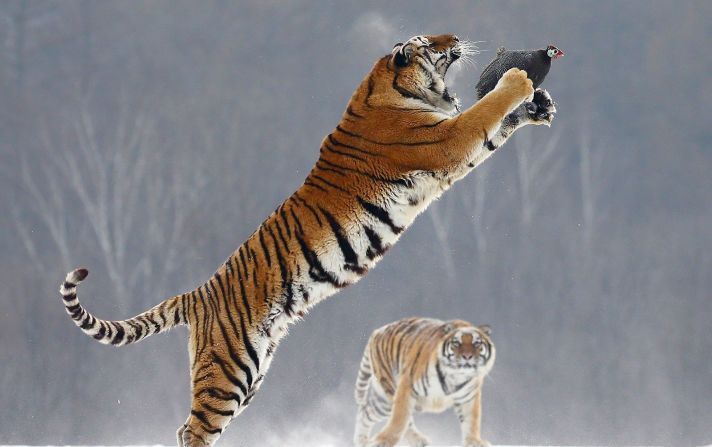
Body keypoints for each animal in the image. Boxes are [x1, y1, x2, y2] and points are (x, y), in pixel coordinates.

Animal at [57, 33, 556, 446]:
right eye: (431, 42)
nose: (454, 38)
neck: (389, 86)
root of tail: (197, 294)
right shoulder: (447, 139)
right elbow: (485, 112)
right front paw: (517, 81)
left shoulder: (454, 152)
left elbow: (494, 130)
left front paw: (537, 107)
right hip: (227, 371)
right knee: (194, 430)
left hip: (249, 374)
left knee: (189, 427)